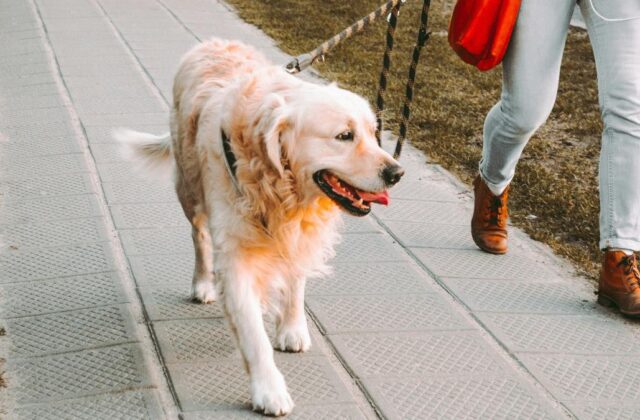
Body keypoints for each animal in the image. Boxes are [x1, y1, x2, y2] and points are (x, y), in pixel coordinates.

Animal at [115, 37, 404, 416]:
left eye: (373, 133)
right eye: (344, 135)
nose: (397, 172)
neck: (280, 187)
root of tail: (213, 42)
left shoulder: (298, 236)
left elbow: (295, 282)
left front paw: (292, 328)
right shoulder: (236, 257)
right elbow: (253, 336)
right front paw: (269, 390)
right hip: (189, 189)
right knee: (199, 236)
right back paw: (203, 283)